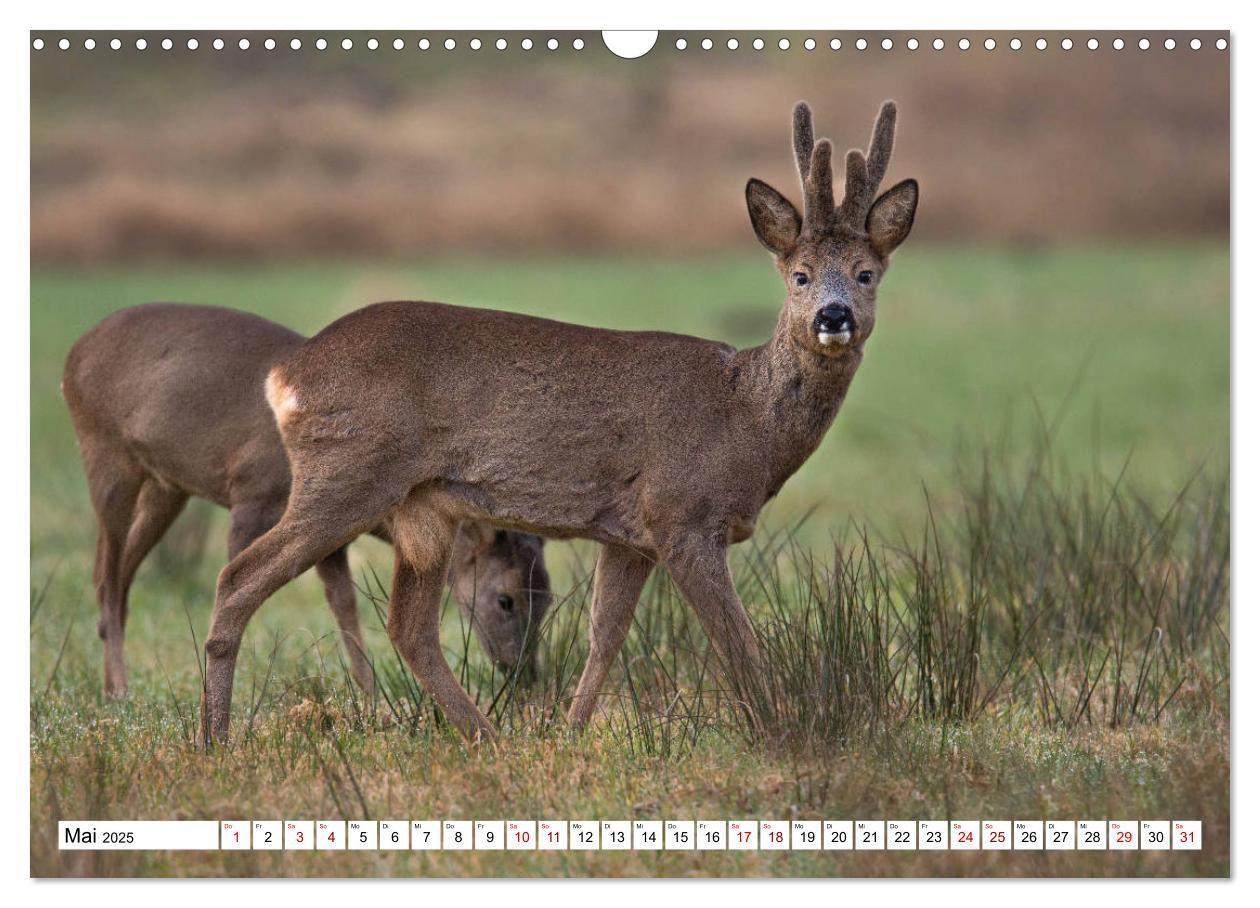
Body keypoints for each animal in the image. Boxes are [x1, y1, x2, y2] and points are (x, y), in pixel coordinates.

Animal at [61, 304, 549, 695]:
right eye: (506, 599)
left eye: (546, 595)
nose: (522, 673)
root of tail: (73, 354)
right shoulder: (252, 493)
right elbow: (239, 585)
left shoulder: (331, 535)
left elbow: (344, 604)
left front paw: (371, 697)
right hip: (104, 452)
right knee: (106, 572)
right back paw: (120, 688)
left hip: (167, 486)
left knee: (117, 573)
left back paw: (110, 678)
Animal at [201, 102, 922, 745]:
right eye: (799, 275)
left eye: (867, 274)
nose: (834, 315)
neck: (747, 420)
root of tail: (284, 374)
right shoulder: (683, 513)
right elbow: (736, 639)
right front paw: (781, 733)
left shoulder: (633, 534)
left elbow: (607, 634)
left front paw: (571, 733)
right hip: (346, 471)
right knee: (239, 578)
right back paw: (215, 739)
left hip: (421, 511)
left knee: (409, 627)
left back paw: (489, 736)